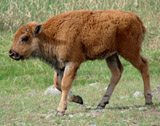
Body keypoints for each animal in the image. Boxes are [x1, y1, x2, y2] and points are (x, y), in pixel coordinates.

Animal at [8, 10, 152, 116]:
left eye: (24, 38)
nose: (12, 53)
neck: (50, 34)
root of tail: (136, 18)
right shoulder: (59, 66)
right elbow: (58, 84)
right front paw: (78, 99)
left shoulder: (72, 62)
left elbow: (65, 84)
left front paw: (60, 110)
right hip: (111, 55)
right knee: (117, 72)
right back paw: (101, 104)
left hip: (129, 52)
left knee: (143, 66)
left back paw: (148, 100)